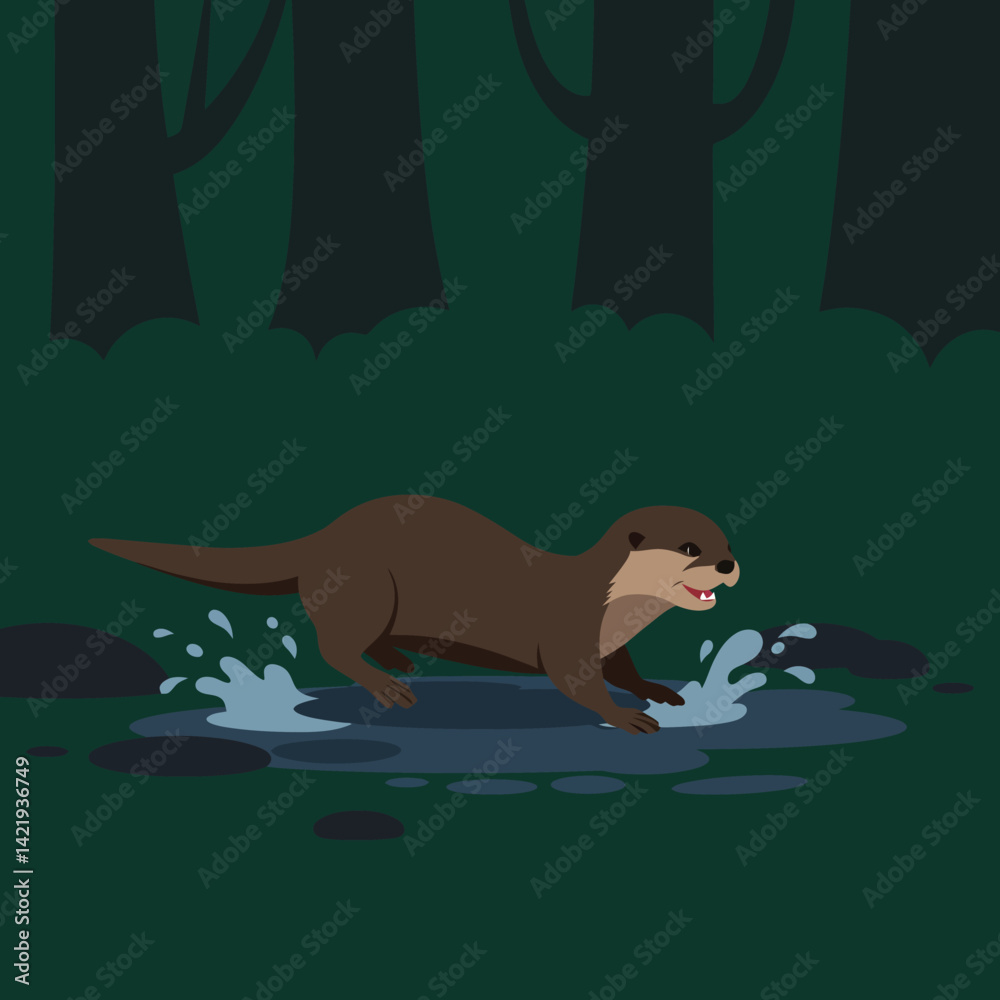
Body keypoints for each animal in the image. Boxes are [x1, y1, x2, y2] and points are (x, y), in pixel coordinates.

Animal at [90, 497, 740, 733]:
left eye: (724, 540)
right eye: (690, 548)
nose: (730, 565)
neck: (612, 606)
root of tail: (322, 538)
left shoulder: (613, 642)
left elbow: (628, 671)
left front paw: (660, 692)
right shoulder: (569, 633)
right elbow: (579, 685)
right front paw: (628, 717)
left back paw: (399, 661)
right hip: (368, 585)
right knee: (334, 646)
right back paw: (390, 688)